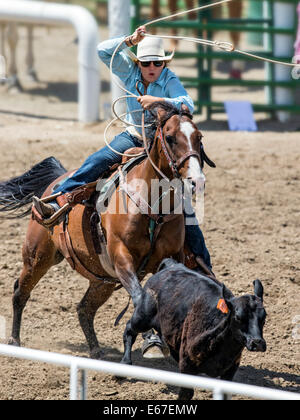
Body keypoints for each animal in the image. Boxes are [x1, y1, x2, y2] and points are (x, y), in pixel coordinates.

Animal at [0, 103, 216, 360]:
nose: (197, 181)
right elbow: (140, 296)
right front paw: (152, 340)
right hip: (38, 256)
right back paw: (14, 340)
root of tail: (54, 184)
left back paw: (96, 350)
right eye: (171, 137)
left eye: (199, 138)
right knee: (20, 291)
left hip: (102, 279)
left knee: (84, 308)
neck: (153, 208)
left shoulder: (171, 258)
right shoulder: (122, 257)